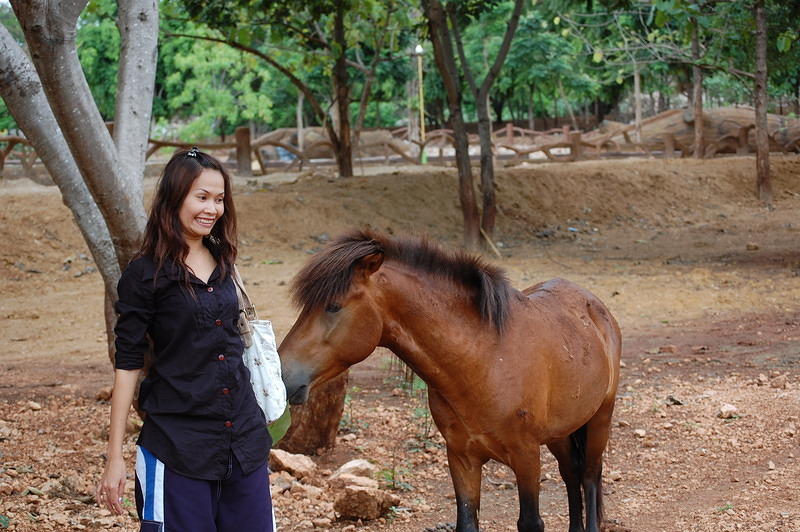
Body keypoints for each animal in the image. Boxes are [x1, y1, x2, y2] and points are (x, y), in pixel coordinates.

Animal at [278, 230, 620, 532]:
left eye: (333, 306)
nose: (284, 375)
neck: (483, 358)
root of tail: (593, 305)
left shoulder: (526, 456)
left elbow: (530, 522)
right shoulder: (461, 457)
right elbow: (466, 521)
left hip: (600, 419)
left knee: (589, 477)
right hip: (560, 431)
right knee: (571, 473)